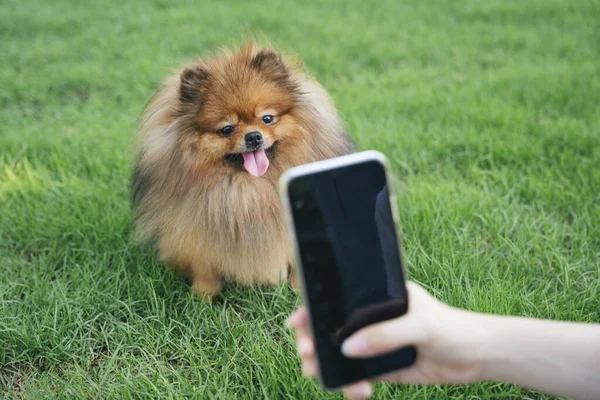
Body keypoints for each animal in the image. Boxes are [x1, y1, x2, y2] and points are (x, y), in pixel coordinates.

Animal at [131, 43, 354, 300]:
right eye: (227, 129)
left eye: (267, 118)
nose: (253, 136)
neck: (250, 189)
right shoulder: (195, 234)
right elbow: (204, 269)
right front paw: (202, 298)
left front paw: (300, 291)